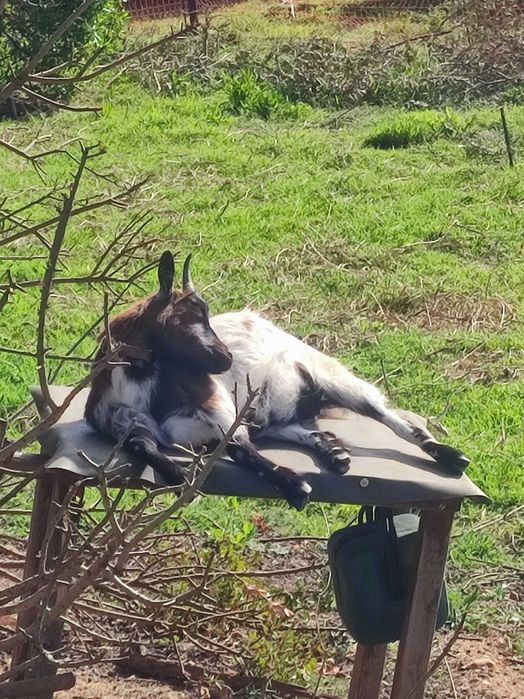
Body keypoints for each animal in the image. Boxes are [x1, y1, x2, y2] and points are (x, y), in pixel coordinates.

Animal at [86, 251, 469, 510]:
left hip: (335, 378)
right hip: (277, 419)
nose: (226, 359)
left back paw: (451, 457)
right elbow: (145, 446)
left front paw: (294, 485)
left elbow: (237, 448)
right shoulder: (122, 419)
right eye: (193, 318)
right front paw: (178, 475)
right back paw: (335, 455)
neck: (142, 376)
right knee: (308, 430)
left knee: (395, 420)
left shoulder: (216, 405)